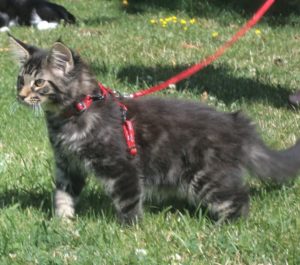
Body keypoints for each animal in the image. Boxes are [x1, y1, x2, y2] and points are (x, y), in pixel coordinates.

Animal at [8, 35, 300, 223]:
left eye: (39, 83)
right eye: (20, 80)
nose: (20, 96)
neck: (75, 112)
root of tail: (236, 123)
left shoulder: (122, 167)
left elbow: (128, 203)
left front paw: (129, 232)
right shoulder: (68, 165)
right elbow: (62, 196)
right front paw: (63, 225)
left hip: (207, 176)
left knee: (238, 200)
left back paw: (224, 227)